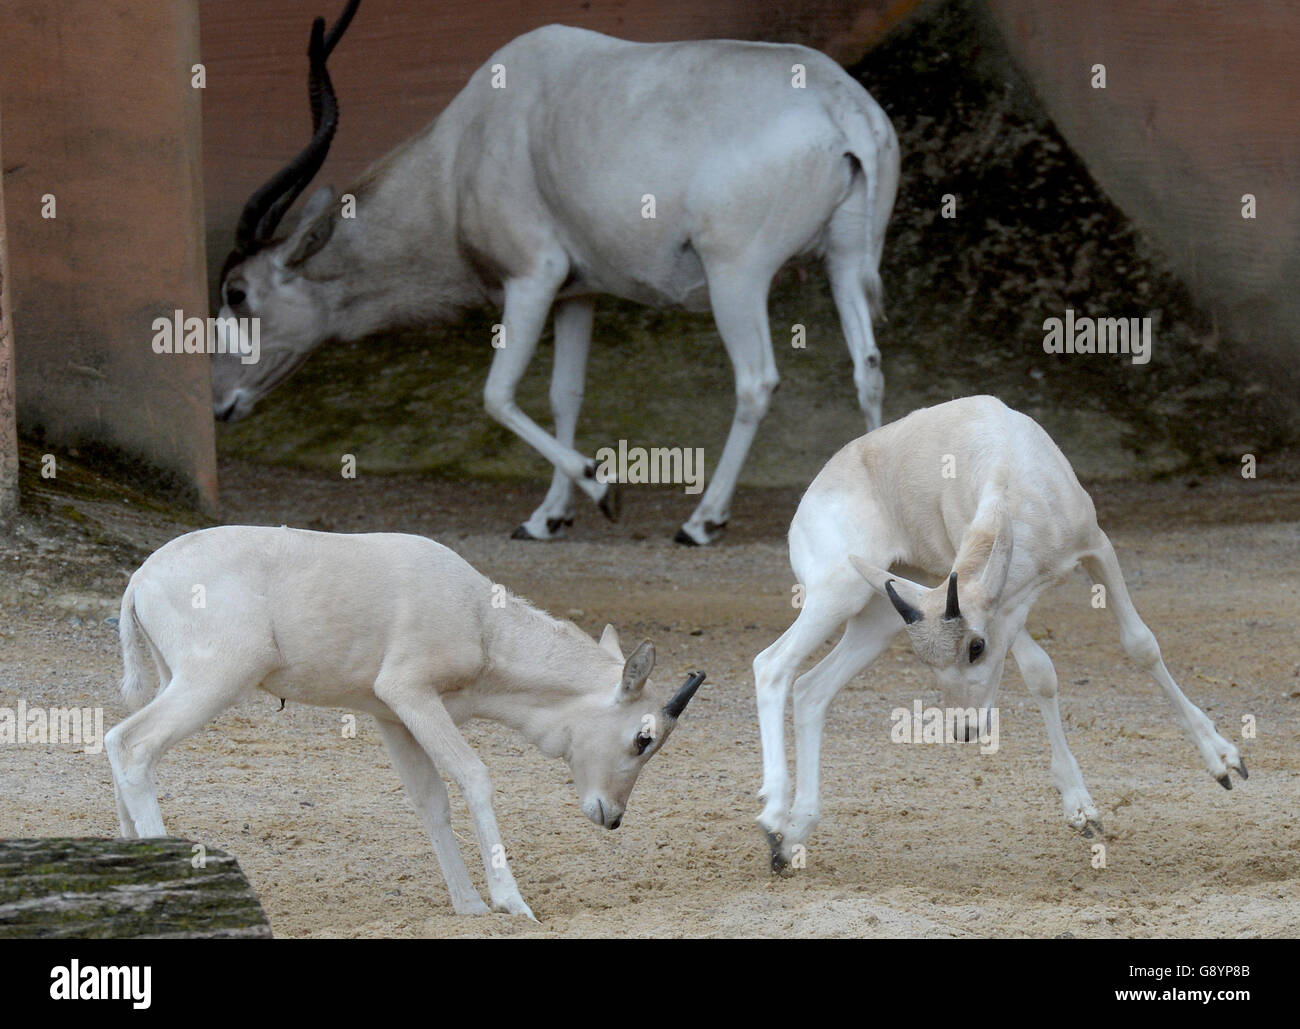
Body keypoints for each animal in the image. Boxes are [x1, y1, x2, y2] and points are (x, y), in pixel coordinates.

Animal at [106, 527, 707, 919]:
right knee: (133, 743)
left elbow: (430, 799)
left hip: (177, 677)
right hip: (215, 678)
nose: (612, 817)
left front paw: (469, 907)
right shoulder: (411, 692)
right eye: (643, 737)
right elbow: (474, 775)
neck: (481, 618)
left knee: (116, 740)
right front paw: (512, 903)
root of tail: (140, 578)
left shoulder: (390, 715)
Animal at [215, 0, 904, 545]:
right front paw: (548, 516)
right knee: (868, 370)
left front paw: (602, 490)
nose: (222, 404)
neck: (458, 155)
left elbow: (496, 394)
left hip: (736, 274)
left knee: (757, 381)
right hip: (844, 262)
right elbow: (563, 393)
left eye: (238, 292)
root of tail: (843, 106)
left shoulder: (531, 277)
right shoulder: (580, 292)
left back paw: (701, 521)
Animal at [754, 397, 1248, 873]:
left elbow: (1141, 644)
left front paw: (1224, 762)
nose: (966, 729)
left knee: (810, 688)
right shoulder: (1008, 605)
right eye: (927, 662)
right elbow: (1040, 674)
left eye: (975, 646)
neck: (1015, 474)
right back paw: (774, 818)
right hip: (842, 591)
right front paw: (1081, 810)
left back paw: (790, 839)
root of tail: (808, 501)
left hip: (883, 613)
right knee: (772, 665)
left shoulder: (1095, 549)